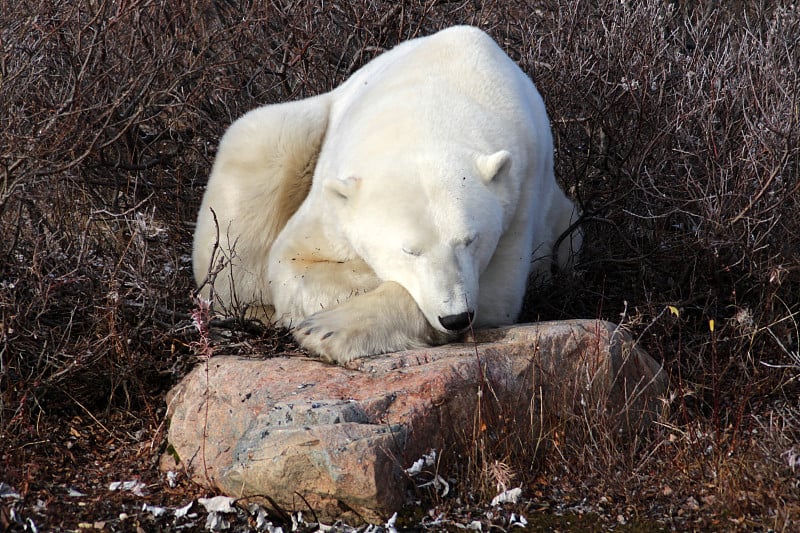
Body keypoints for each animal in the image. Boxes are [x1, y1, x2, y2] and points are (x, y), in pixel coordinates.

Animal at [194, 27, 580, 364]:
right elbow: (294, 260)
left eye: (470, 240)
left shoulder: (518, 199)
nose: (455, 317)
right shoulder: (333, 197)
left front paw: (326, 329)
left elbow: (497, 294)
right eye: (409, 250)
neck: (430, 109)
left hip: (565, 224)